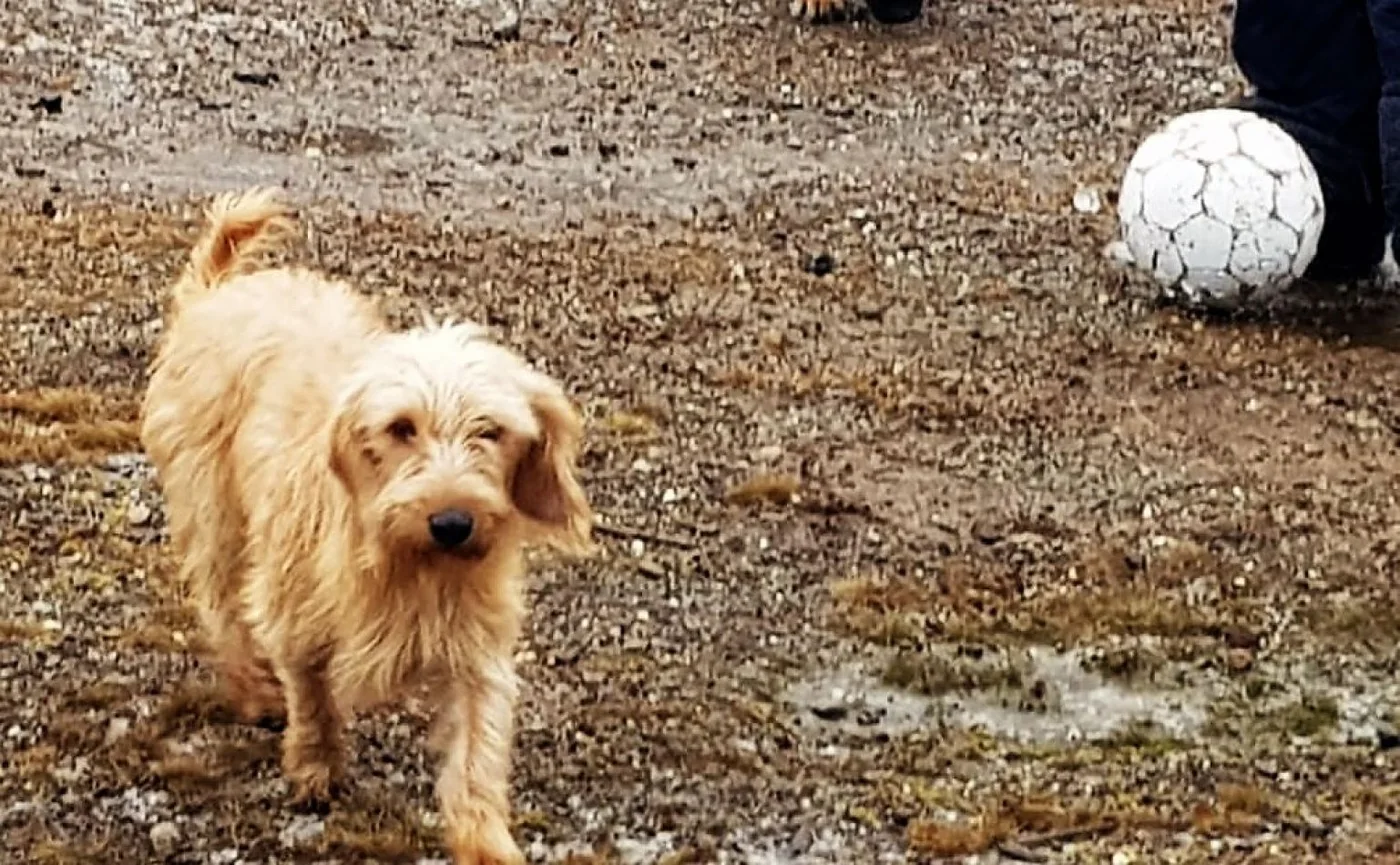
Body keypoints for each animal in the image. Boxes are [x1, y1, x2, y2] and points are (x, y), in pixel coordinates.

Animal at [136, 188, 585, 862]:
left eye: (490, 431)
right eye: (401, 428)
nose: (452, 522)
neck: (407, 558)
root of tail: (216, 295)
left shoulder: (474, 651)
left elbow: (475, 756)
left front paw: (484, 842)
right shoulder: (296, 611)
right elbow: (312, 692)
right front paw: (315, 766)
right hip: (216, 516)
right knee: (223, 606)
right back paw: (253, 691)